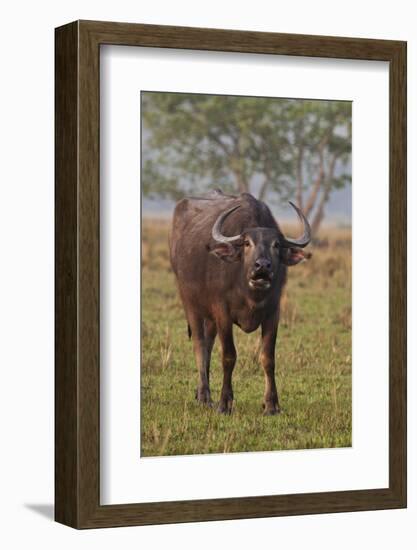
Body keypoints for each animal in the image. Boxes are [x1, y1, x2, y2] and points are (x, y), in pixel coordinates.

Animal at [168, 189, 308, 414]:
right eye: (247, 243)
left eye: (276, 245)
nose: (262, 266)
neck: (250, 293)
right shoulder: (223, 312)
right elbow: (229, 356)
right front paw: (225, 403)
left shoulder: (273, 313)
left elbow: (268, 358)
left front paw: (271, 404)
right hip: (190, 303)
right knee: (199, 344)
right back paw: (205, 396)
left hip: (210, 317)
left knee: (208, 344)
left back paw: (200, 393)